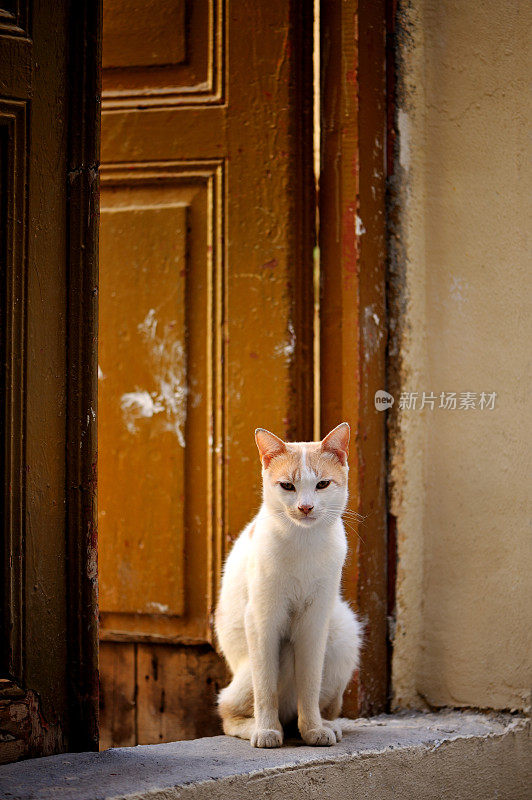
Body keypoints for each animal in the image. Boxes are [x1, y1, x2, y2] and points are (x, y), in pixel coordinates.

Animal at [215, 424, 362, 752]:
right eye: (287, 486)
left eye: (322, 484)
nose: (305, 507)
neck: (304, 544)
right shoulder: (262, 621)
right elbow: (265, 690)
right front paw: (267, 731)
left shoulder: (314, 622)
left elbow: (309, 685)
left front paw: (314, 730)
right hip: (260, 664)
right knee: (227, 710)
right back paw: (259, 727)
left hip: (342, 633)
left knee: (308, 708)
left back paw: (324, 725)